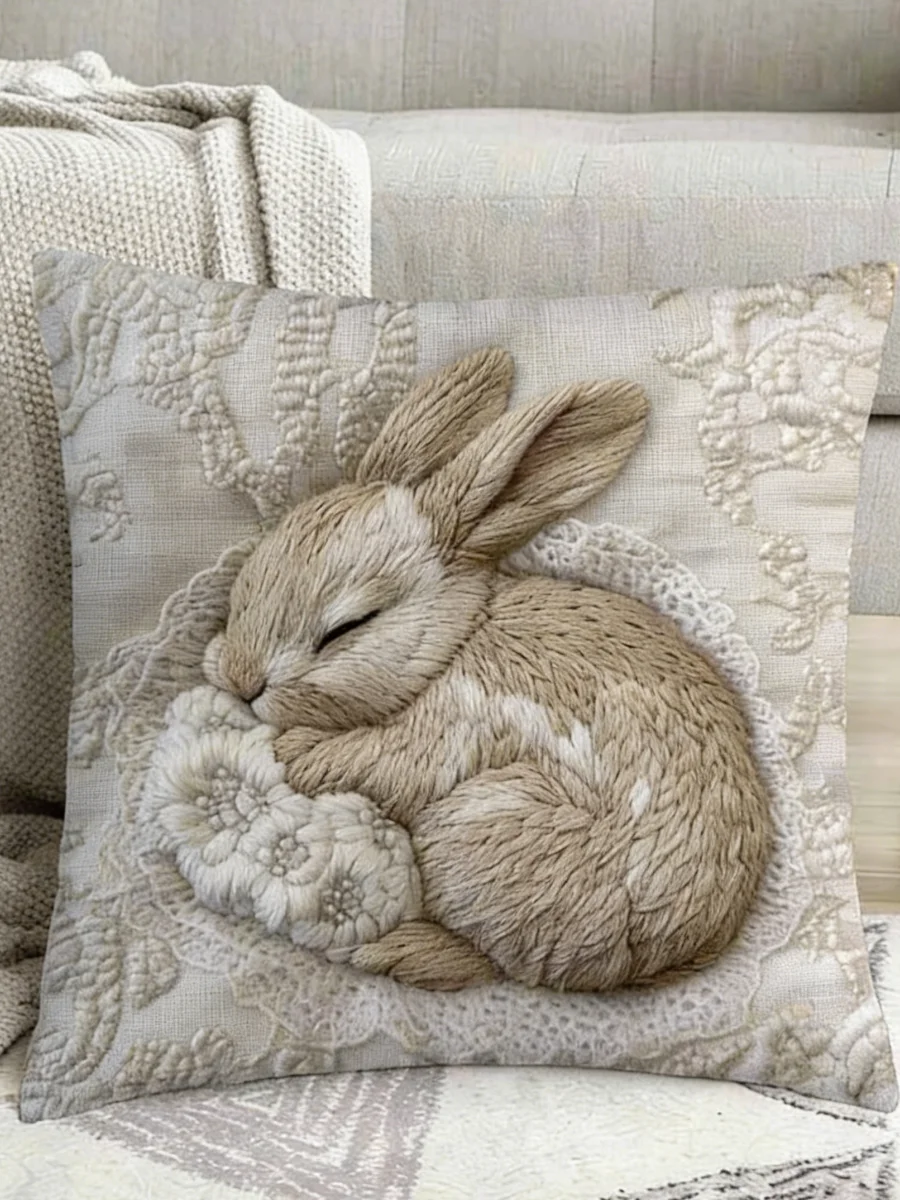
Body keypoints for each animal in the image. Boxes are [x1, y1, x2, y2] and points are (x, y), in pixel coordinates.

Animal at [203, 347, 773, 993]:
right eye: (248, 581)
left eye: (348, 627)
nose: (241, 683)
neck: (451, 645)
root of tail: (653, 956)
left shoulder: (446, 726)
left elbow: (372, 762)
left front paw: (292, 753)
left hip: (481, 835)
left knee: (492, 961)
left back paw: (392, 950)